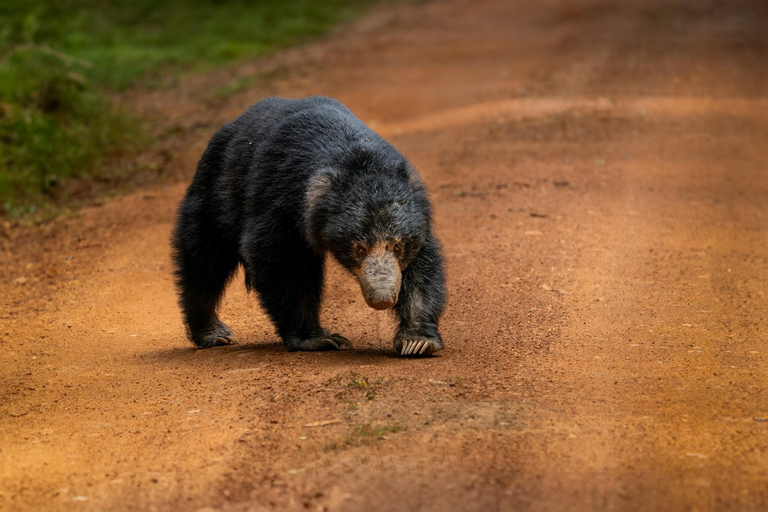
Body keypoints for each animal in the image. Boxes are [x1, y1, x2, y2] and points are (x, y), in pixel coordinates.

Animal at [168, 95, 444, 356]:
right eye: (359, 248)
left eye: (397, 246)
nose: (383, 298)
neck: (358, 159)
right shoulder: (281, 203)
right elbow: (282, 262)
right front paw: (320, 339)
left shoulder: (417, 218)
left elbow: (422, 267)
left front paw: (417, 341)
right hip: (215, 196)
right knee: (203, 261)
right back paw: (214, 334)